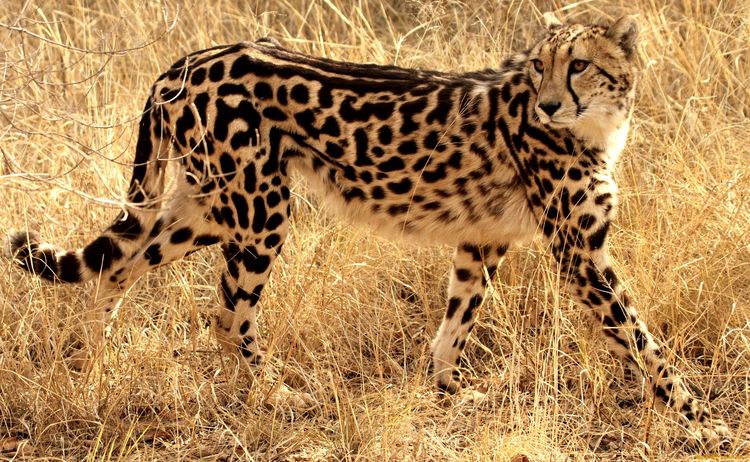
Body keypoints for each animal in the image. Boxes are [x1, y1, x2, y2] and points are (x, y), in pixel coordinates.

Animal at [7, 14, 732, 449]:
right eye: (540, 68)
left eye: (579, 64)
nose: (551, 103)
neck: (597, 126)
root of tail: (190, 58)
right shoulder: (581, 255)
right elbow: (643, 340)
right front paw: (701, 421)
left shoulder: (484, 239)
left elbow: (456, 321)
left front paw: (448, 391)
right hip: (258, 208)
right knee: (227, 314)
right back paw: (270, 394)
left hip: (207, 207)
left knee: (117, 264)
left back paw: (87, 366)